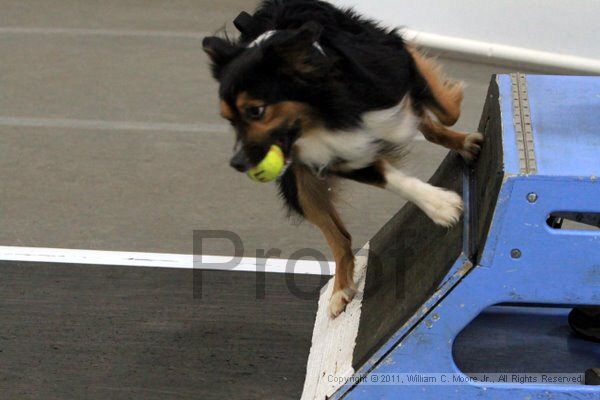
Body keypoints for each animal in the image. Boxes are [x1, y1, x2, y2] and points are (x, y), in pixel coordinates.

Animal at [204, 0, 486, 318]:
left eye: (255, 111)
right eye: (229, 119)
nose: (237, 163)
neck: (326, 112)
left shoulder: (393, 67)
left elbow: (445, 109)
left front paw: (459, 134)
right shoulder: (337, 155)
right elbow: (390, 177)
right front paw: (439, 205)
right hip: (298, 186)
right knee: (340, 238)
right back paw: (340, 288)